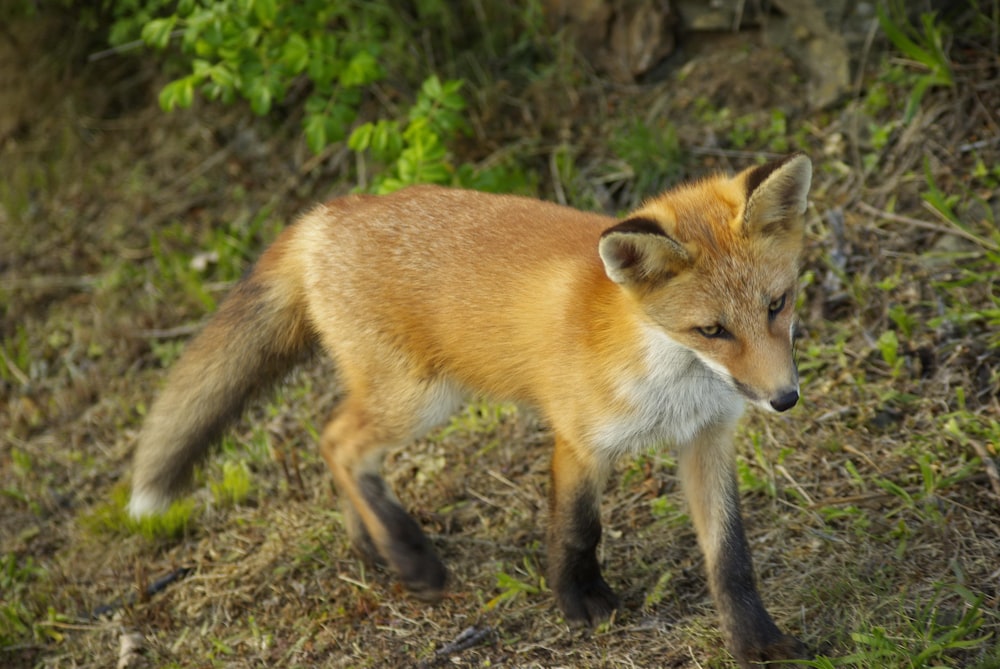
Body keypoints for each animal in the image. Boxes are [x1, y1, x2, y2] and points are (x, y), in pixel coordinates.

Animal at [129, 154, 812, 664]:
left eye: (777, 304)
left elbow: (730, 558)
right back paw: (410, 556)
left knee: (335, 441)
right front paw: (580, 603)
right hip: (422, 399)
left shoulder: (707, 438)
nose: (784, 398)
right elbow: (577, 529)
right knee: (337, 440)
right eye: (712, 330)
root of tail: (330, 212)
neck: (672, 375)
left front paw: (758, 641)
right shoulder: (578, 440)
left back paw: (373, 545)